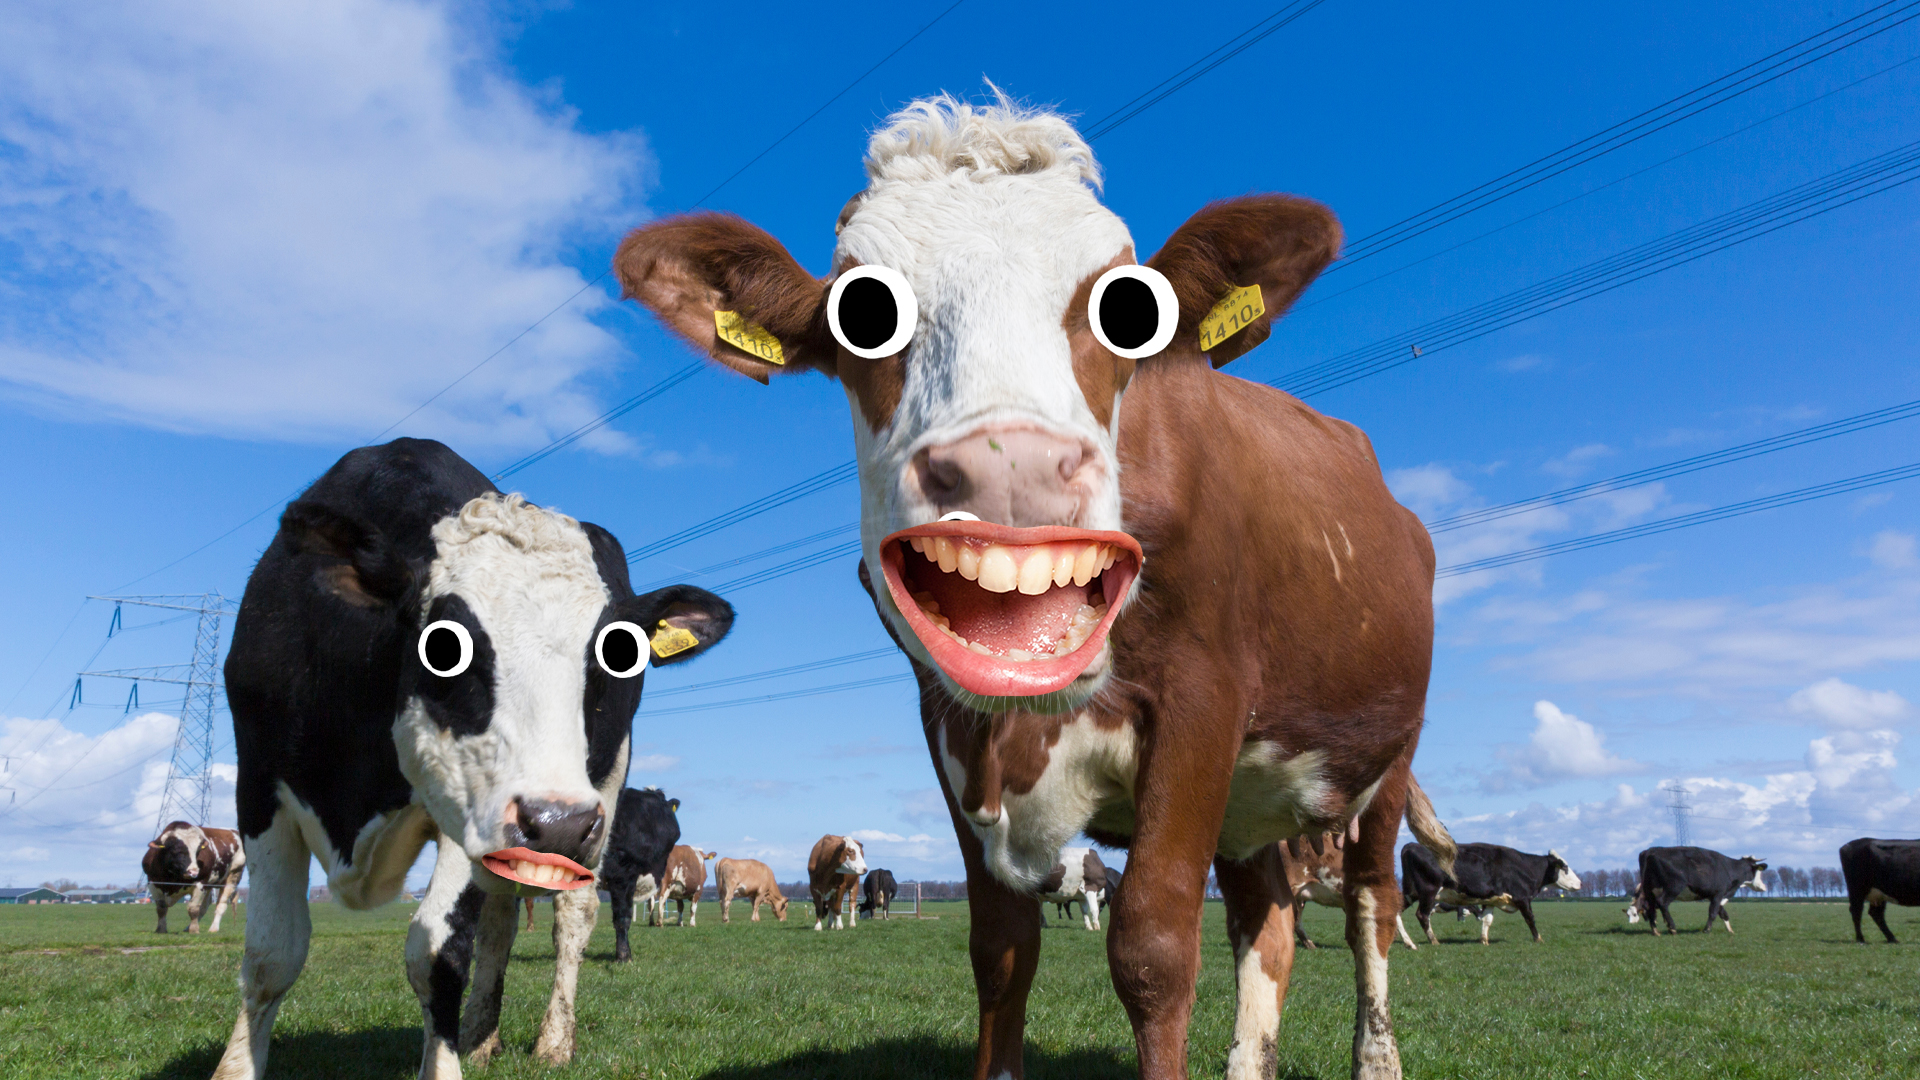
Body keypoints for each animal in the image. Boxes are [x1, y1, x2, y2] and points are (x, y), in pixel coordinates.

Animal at [616, 90, 1455, 1080]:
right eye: (863, 312)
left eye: (1127, 305)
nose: (1007, 467)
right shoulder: (947, 721)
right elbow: (1002, 950)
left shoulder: (1204, 699)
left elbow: (1153, 946)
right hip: (1255, 800)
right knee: (1268, 923)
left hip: (1382, 760)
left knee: (1371, 908)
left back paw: (1378, 1053)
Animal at [1401, 842, 1580, 945]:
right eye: (1565, 867)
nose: (1580, 883)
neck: (1525, 867)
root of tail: (1411, 845)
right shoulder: (1522, 898)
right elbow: (1530, 918)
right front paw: (1538, 939)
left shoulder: (1490, 900)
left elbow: (1487, 920)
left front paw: (1484, 941)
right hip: (1429, 891)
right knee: (1422, 915)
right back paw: (1433, 941)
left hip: (1411, 893)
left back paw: (1408, 942)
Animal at [1633, 846, 1767, 936]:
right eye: (1757, 871)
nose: (1764, 887)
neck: (1729, 868)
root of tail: (1650, 851)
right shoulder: (1718, 894)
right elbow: (1712, 912)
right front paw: (1706, 930)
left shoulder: (1714, 895)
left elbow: (1722, 913)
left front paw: (1730, 930)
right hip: (1673, 887)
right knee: (1662, 903)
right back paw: (1672, 927)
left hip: (1649, 890)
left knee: (1651, 909)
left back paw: (1655, 931)